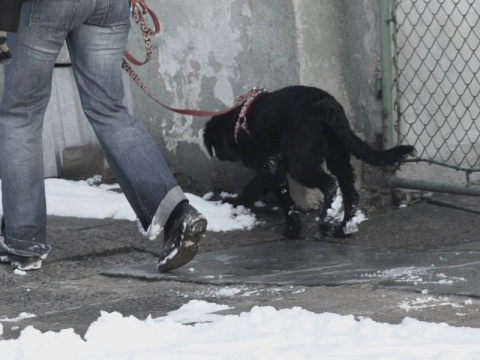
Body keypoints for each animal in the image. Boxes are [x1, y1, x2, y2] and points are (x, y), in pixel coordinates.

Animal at [204, 85, 414, 239]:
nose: (219, 156)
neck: (235, 125)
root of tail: (327, 106)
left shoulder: (270, 165)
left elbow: (281, 199)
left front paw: (292, 230)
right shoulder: (268, 168)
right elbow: (255, 188)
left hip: (300, 163)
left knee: (330, 183)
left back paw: (324, 221)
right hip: (338, 155)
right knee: (351, 195)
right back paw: (342, 229)